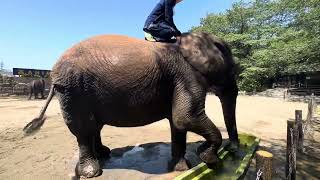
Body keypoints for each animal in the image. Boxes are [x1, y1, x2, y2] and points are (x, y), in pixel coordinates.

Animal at [23, 32, 239, 179]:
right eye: (231, 66)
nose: (233, 150)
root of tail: (53, 71)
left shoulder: (177, 80)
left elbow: (178, 122)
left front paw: (181, 168)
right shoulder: (186, 76)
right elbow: (185, 117)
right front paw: (209, 159)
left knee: (94, 125)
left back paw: (103, 154)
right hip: (73, 88)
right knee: (84, 128)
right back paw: (91, 172)